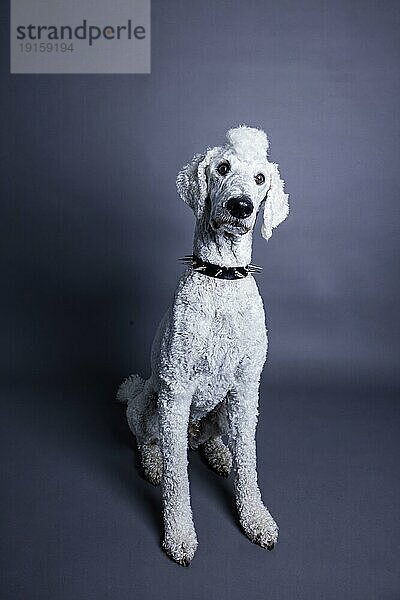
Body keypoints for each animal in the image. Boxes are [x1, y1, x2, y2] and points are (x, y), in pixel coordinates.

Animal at [117, 124, 290, 564]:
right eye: (223, 168)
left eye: (260, 178)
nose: (241, 205)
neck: (221, 276)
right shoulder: (176, 391)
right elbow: (178, 476)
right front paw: (179, 534)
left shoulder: (246, 389)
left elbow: (249, 461)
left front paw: (256, 518)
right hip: (150, 403)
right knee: (151, 441)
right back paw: (153, 464)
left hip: (225, 409)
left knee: (213, 439)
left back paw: (218, 454)